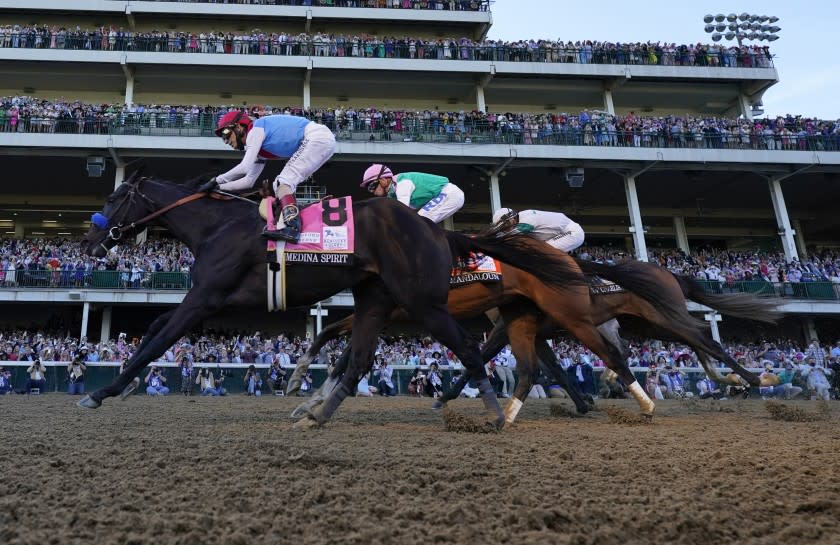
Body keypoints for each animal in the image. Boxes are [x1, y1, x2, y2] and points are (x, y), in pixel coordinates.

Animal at [80, 172, 592, 428]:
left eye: (113, 197)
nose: (88, 242)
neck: (218, 226)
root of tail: (437, 232)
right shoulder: (207, 300)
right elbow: (154, 328)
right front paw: (123, 382)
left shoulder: (206, 298)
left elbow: (158, 339)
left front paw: (102, 391)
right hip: (381, 300)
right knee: (365, 357)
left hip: (425, 304)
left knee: (471, 349)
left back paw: (495, 413)